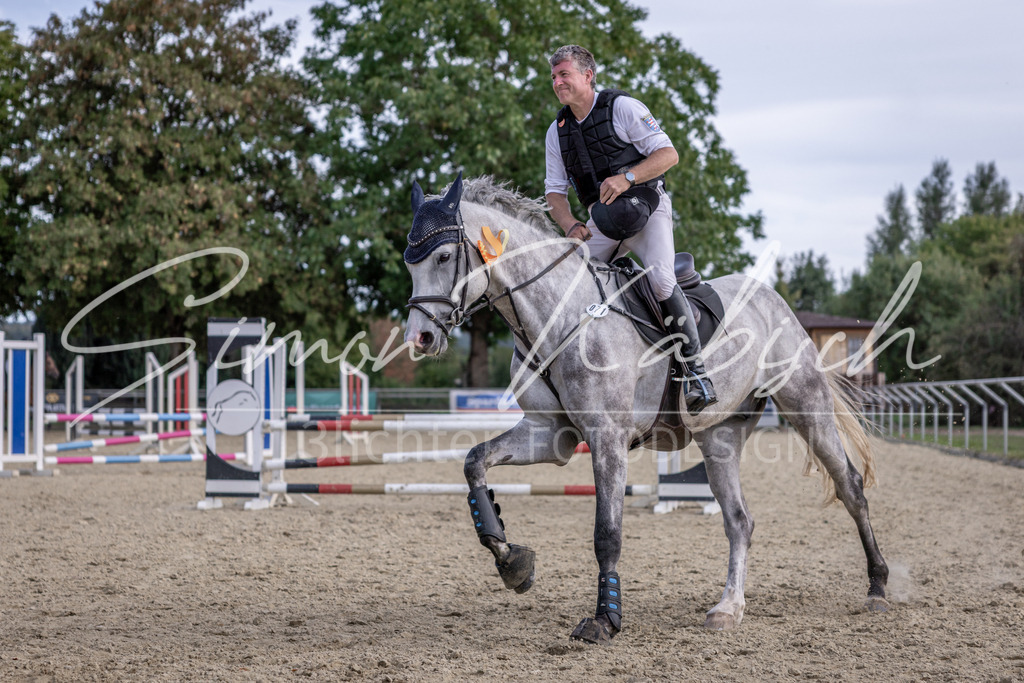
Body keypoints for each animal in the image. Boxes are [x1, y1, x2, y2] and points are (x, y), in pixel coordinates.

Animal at [402, 173, 889, 644]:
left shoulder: (607, 439)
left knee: (849, 486)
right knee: (739, 521)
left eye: (443, 257)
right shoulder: (549, 433)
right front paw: (512, 562)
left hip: (806, 405)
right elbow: (474, 462)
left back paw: (878, 587)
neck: (558, 314)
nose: (420, 338)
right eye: (409, 263)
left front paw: (605, 620)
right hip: (720, 437)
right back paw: (728, 608)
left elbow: (607, 535)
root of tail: (773, 298)